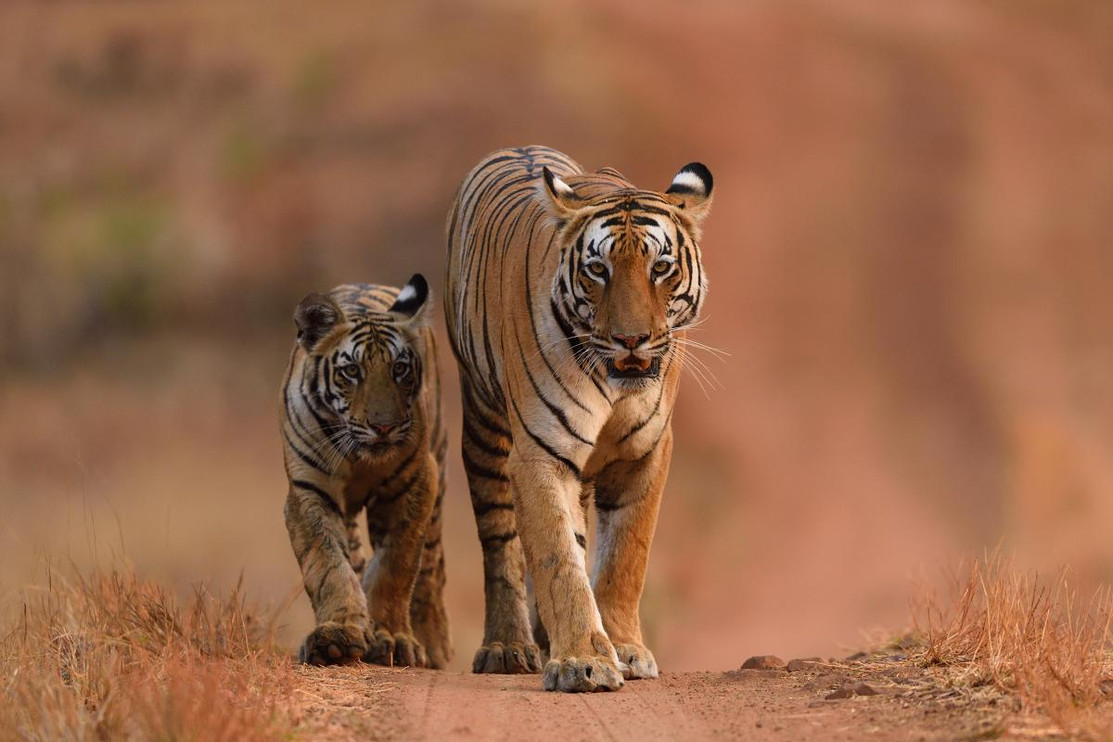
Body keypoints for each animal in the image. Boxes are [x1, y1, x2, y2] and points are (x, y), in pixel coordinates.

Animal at [281, 275, 452, 669]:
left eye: (400, 369)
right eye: (352, 372)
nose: (384, 427)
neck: (358, 457)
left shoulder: (415, 482)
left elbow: (396, 564)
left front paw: (391, 639)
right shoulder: (308, 491)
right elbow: (329, 565)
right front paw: (338, 637)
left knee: (431, 571)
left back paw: (434, 646)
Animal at [444, 146, 713, 692]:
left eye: (660, 267)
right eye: (597, 269)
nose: (631, 339)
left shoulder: (647, 453)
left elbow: (625, 558)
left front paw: (625, 649)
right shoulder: (539, 454)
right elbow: (557, 559)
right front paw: (581, 662)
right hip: (483, 427)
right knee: (501, 546)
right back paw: (508, 647)